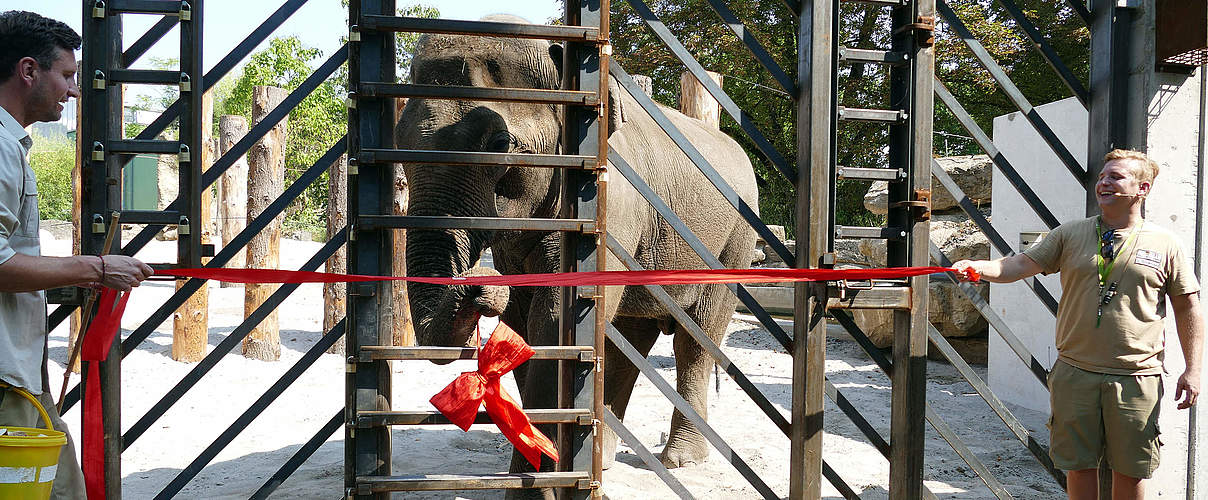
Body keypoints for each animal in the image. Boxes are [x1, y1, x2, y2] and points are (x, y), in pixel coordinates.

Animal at [393, 13, 753, 495]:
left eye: (500, 144)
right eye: (397, 140)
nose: (481, 287)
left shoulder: (612, 204)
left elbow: (553, 320)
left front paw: (539, 488)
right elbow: (526, 326)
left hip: (734, 245)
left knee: (695, 340)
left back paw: (680, 461)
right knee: (626, 339)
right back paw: (607, 461)